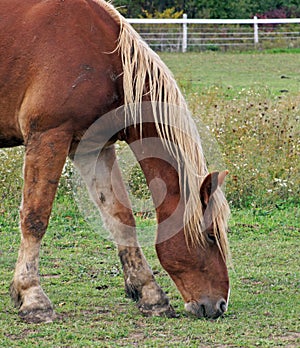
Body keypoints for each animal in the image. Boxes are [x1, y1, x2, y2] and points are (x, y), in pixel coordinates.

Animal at [0, 0, 231, 324]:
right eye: (210, 236)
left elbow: (121, 217)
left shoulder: (93, 147)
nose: (220, 305)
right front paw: (32, 297)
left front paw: (150, 294)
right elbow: (35, 218)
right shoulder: (48, 136)